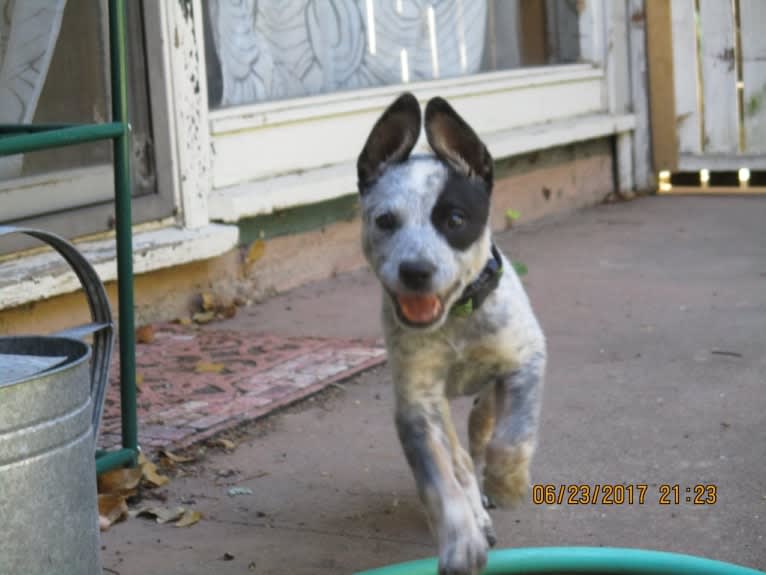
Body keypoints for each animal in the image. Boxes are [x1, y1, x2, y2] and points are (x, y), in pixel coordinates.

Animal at [358, 92, 544, 572]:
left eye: (455, 220)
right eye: (385, 221)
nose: (415, 271)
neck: (457, 320)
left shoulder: (527, 360)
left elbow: (513, 436)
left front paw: (508, 482)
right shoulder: (417, 407)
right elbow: (440, 484)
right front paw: (460, 541)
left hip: (485, 401)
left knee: (482, 434)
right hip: (442, 409)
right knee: (459, 461)